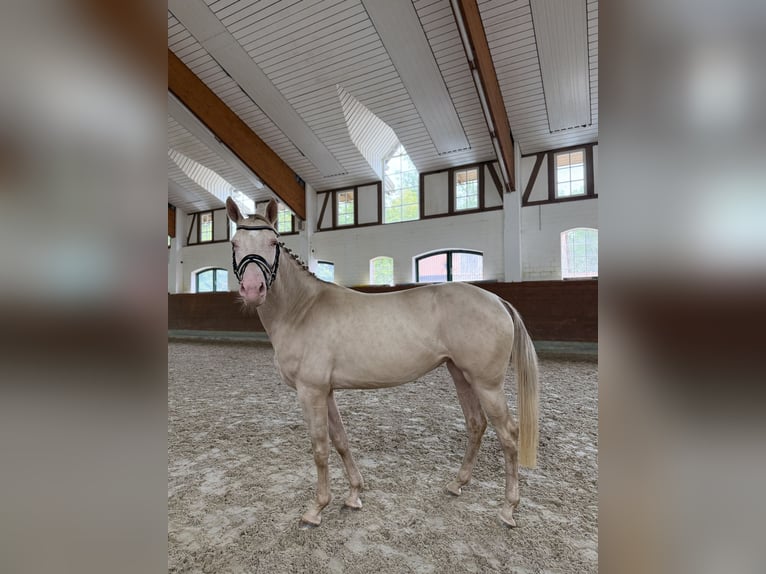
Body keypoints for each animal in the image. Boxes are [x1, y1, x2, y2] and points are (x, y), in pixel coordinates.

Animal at [226, 197, 539, 528]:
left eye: (273, 243)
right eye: (235, 243)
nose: (253, 290)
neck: (302, 308)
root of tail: (497, 301)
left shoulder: (310, 391)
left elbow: (320, 448)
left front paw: (316, 508)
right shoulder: (326, 391)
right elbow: (340, 440)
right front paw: (354, 494)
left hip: (487, 384)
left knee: (509, 434)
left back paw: (508, 508)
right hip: (461, 375)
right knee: (476, 424)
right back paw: (457, 484)